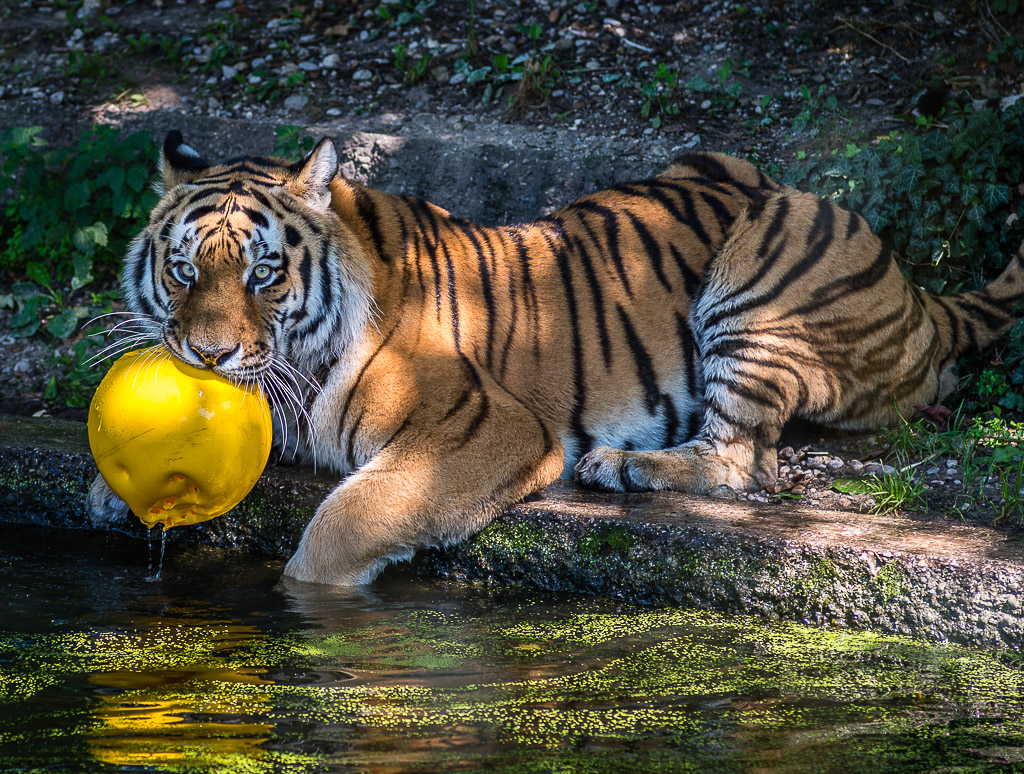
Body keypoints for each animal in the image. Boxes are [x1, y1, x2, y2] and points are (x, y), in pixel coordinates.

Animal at [88, 130, 1024, 586]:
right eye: (184, 270)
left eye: (264, 273)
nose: (207, 354)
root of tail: (919, 291)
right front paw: (114, 493)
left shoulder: (480, 427)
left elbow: (346, 522)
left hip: (766, 263)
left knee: (745, 462)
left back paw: (625, 466)